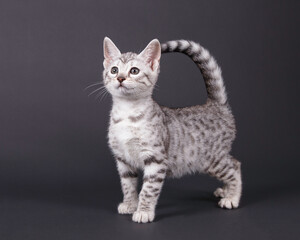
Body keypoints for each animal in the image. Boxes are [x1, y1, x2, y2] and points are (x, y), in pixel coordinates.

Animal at [102, 37, 241, 223]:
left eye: (134, 71)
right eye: (114, 70)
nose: (120, 78)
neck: (127, 112)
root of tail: (215, 105)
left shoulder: (156, 159)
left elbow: (148, 189)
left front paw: (144, 211)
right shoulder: (123, 159)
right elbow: (128, 185)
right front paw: (130, 204)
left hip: (212, 158)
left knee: (235, 166)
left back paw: (232, 197)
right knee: (233, 163)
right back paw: (225, 191)